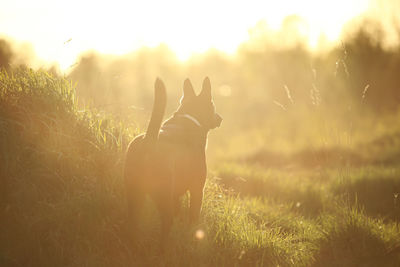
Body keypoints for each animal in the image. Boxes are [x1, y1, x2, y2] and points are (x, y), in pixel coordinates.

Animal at [124, 77, 222, 243]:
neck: (190, 117)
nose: (220, 118)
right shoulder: (197, 189)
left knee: (132, 224)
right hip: (163, 196)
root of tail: (149, 141)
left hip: (133, 194)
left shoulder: (176, 195)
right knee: (166, 225)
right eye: (212, 104)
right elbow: (193, 217)